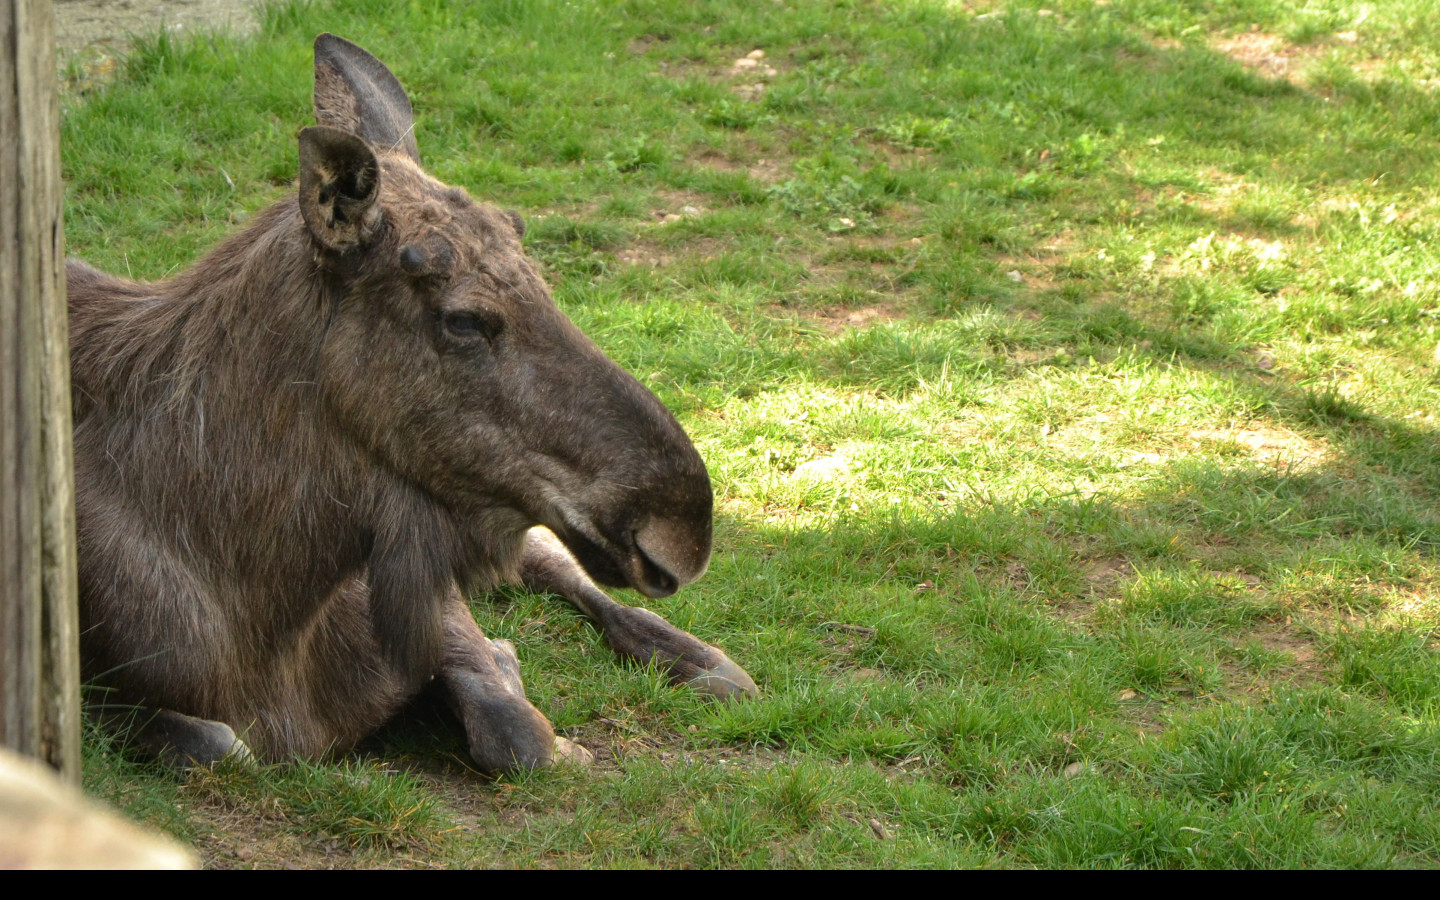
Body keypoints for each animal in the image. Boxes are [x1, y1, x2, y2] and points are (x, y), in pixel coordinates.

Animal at [68, 31, 760, 766]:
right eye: (464, 320)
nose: (683, 526)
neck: (273, 610)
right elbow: (219, 743)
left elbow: (515, 730)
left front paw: (515, 676)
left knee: (557, 563)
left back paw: (699, 657)